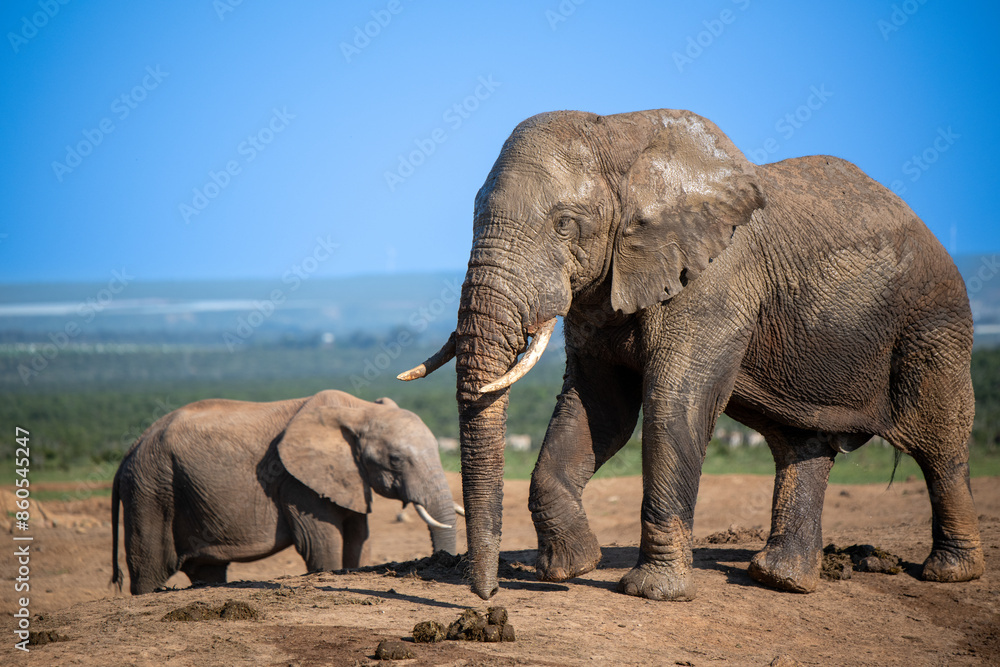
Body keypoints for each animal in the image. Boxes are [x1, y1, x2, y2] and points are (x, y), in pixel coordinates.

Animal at [111, 390, 459, 595]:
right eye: (396, 460)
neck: (358, 411)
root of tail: (130, 449)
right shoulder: (295, 481)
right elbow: (322, 544)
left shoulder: (348, 478)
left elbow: (360, 539)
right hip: (151, 489)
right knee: (150, 568)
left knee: (207, 570)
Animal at [399, 109, 984, 601]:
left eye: (565, 223)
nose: (488, 595)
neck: (619, 135)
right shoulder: (604, 287)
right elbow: (599, 409)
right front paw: (572, 569)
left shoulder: (716, 279)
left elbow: (672, 404)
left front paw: (651, 593)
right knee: (802, 442)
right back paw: (779, 580)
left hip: (934, 323)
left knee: (940, 444)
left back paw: (949, 573)